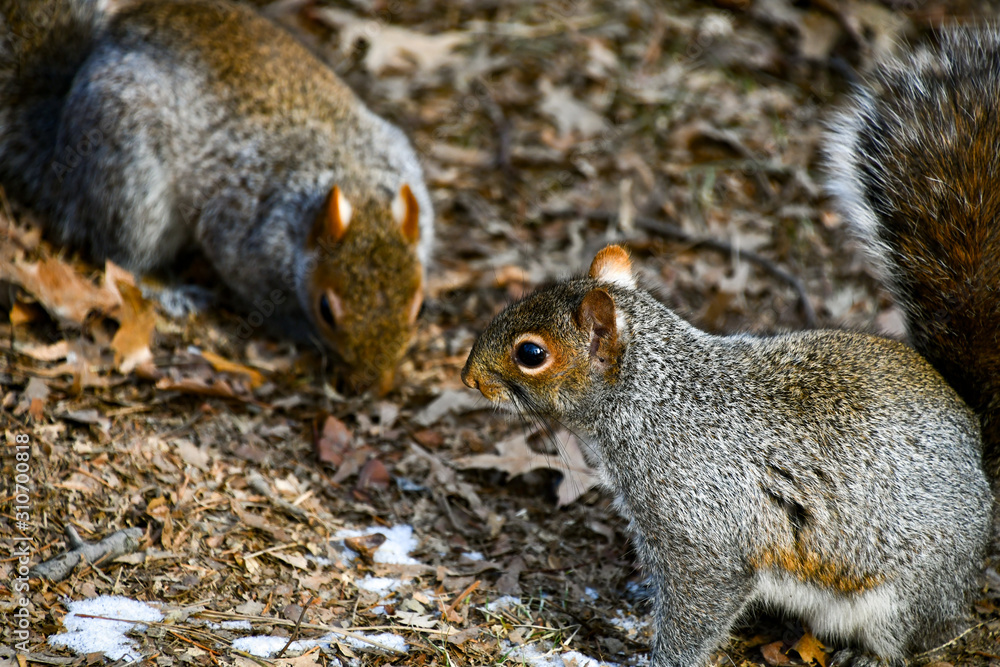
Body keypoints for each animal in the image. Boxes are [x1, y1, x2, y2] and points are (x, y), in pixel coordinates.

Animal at [0, 0, 433, 394]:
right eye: (326, 310)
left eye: (418, 308)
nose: (375, 385)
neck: (357, 182)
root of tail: (60, 161)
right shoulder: (243, 237)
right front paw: (301, 330)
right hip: (130, 180)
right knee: (119, 253)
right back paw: (169, 290)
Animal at [462, 28, 999, 667]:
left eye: (531, 354)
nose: (468, 377)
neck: (656, 399)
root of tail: (975, 438)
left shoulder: (701, 526)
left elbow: (702, 601)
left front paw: (661, 658)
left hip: (904, 593)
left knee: (921, 634)